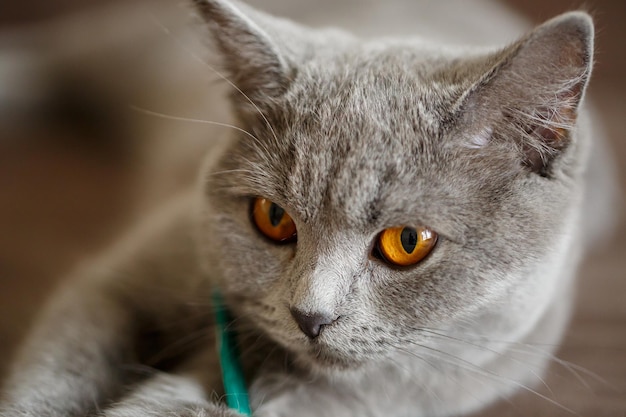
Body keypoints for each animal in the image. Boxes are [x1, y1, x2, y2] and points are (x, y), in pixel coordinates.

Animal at [0, 0, 604, 416]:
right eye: (273, 218)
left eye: (408, 242)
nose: (309, 316)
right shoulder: (117, 281)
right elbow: (55, 370)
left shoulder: (389, 395)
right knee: (62, 51)